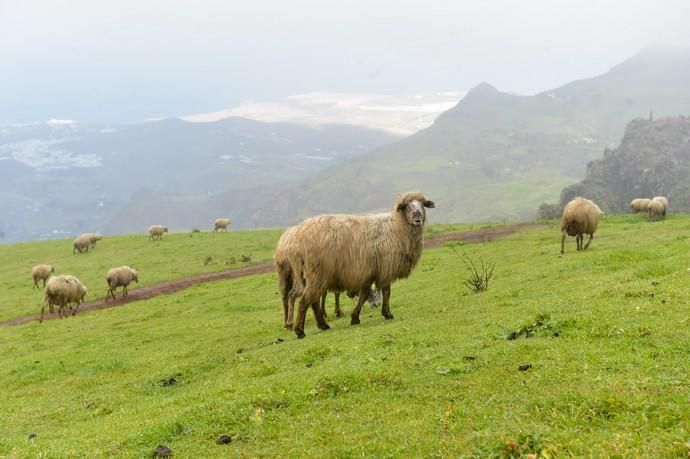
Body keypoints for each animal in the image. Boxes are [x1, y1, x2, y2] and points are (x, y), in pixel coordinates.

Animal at [288, 190, 432, 338]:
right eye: (406, 206)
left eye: (422, 204)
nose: (417, 216)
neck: (398, 227)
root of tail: (296, 241)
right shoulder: (385, 269)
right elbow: (386, 292)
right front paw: (387, 314)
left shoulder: (368, 273)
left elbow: (364, 295)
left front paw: (355, 317)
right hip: (317, 273)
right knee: (305, 300)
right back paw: (299, 331)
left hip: (312, 276)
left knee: (314, 301)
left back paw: (323, 325)